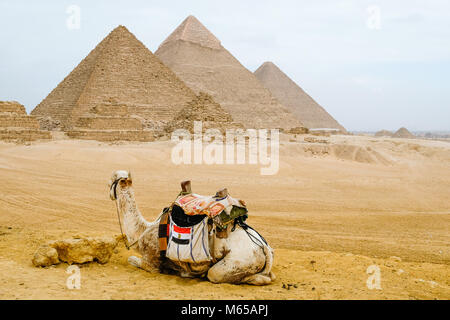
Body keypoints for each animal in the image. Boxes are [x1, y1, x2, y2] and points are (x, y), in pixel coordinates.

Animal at [109, 170, 276, 284]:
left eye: (112, 179)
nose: (110, 194)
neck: (142, 230)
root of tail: (263, 246)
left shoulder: (151, 263)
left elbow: (132, 259)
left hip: (239, 259)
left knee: (215, 274)